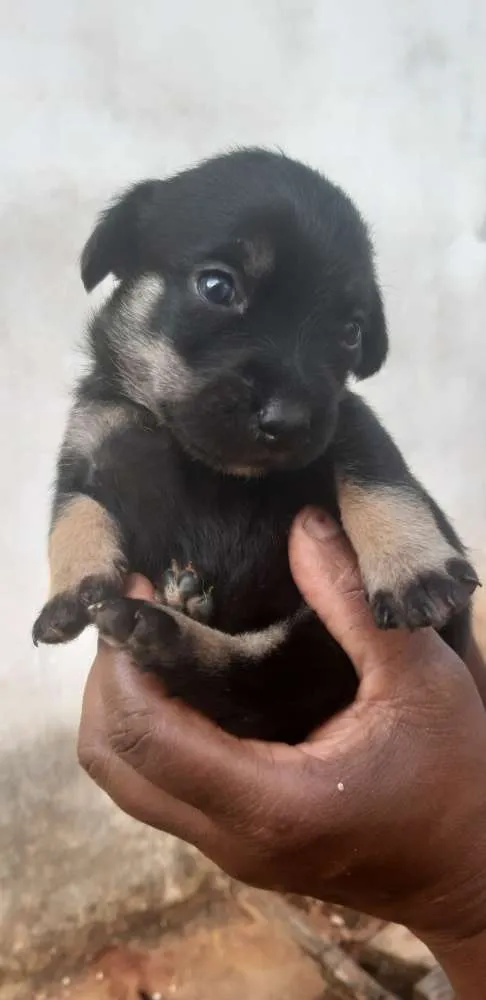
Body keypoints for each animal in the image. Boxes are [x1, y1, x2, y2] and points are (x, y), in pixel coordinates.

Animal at [32, 148, 480, 744]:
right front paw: (70, 589)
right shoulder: (87, 449)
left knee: (259, 683)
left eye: (351, 332)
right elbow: (71, 514)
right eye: (217, 288)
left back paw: (161, 629)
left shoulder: (348, 424)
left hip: (315, 643)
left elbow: (382, 480)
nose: (287, 419)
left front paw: (414, 567)